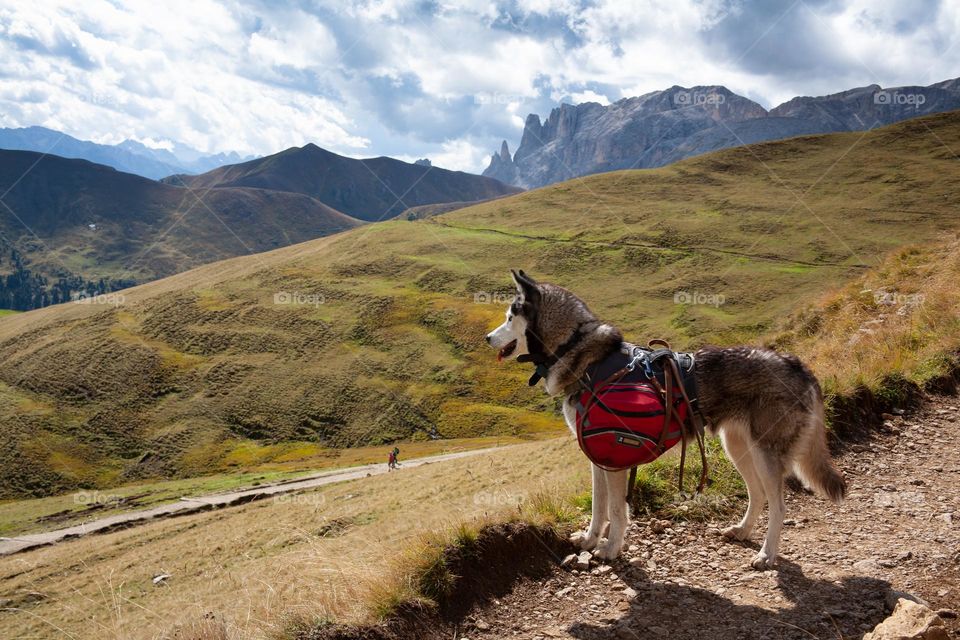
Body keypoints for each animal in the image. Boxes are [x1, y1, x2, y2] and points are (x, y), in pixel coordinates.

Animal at [488, 270, 848, 568]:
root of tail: (797, 364)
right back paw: (743, 531)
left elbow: (616, 510)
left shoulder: (614, 458)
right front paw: (590, 540)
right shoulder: (597, 456)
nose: (487, 338)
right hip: (738, 448)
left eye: (509, 317)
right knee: (758, 495)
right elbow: (598, 508)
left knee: (779, 505)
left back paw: (767, 554)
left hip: (765, 453)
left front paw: (610, 549)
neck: (582, 354)